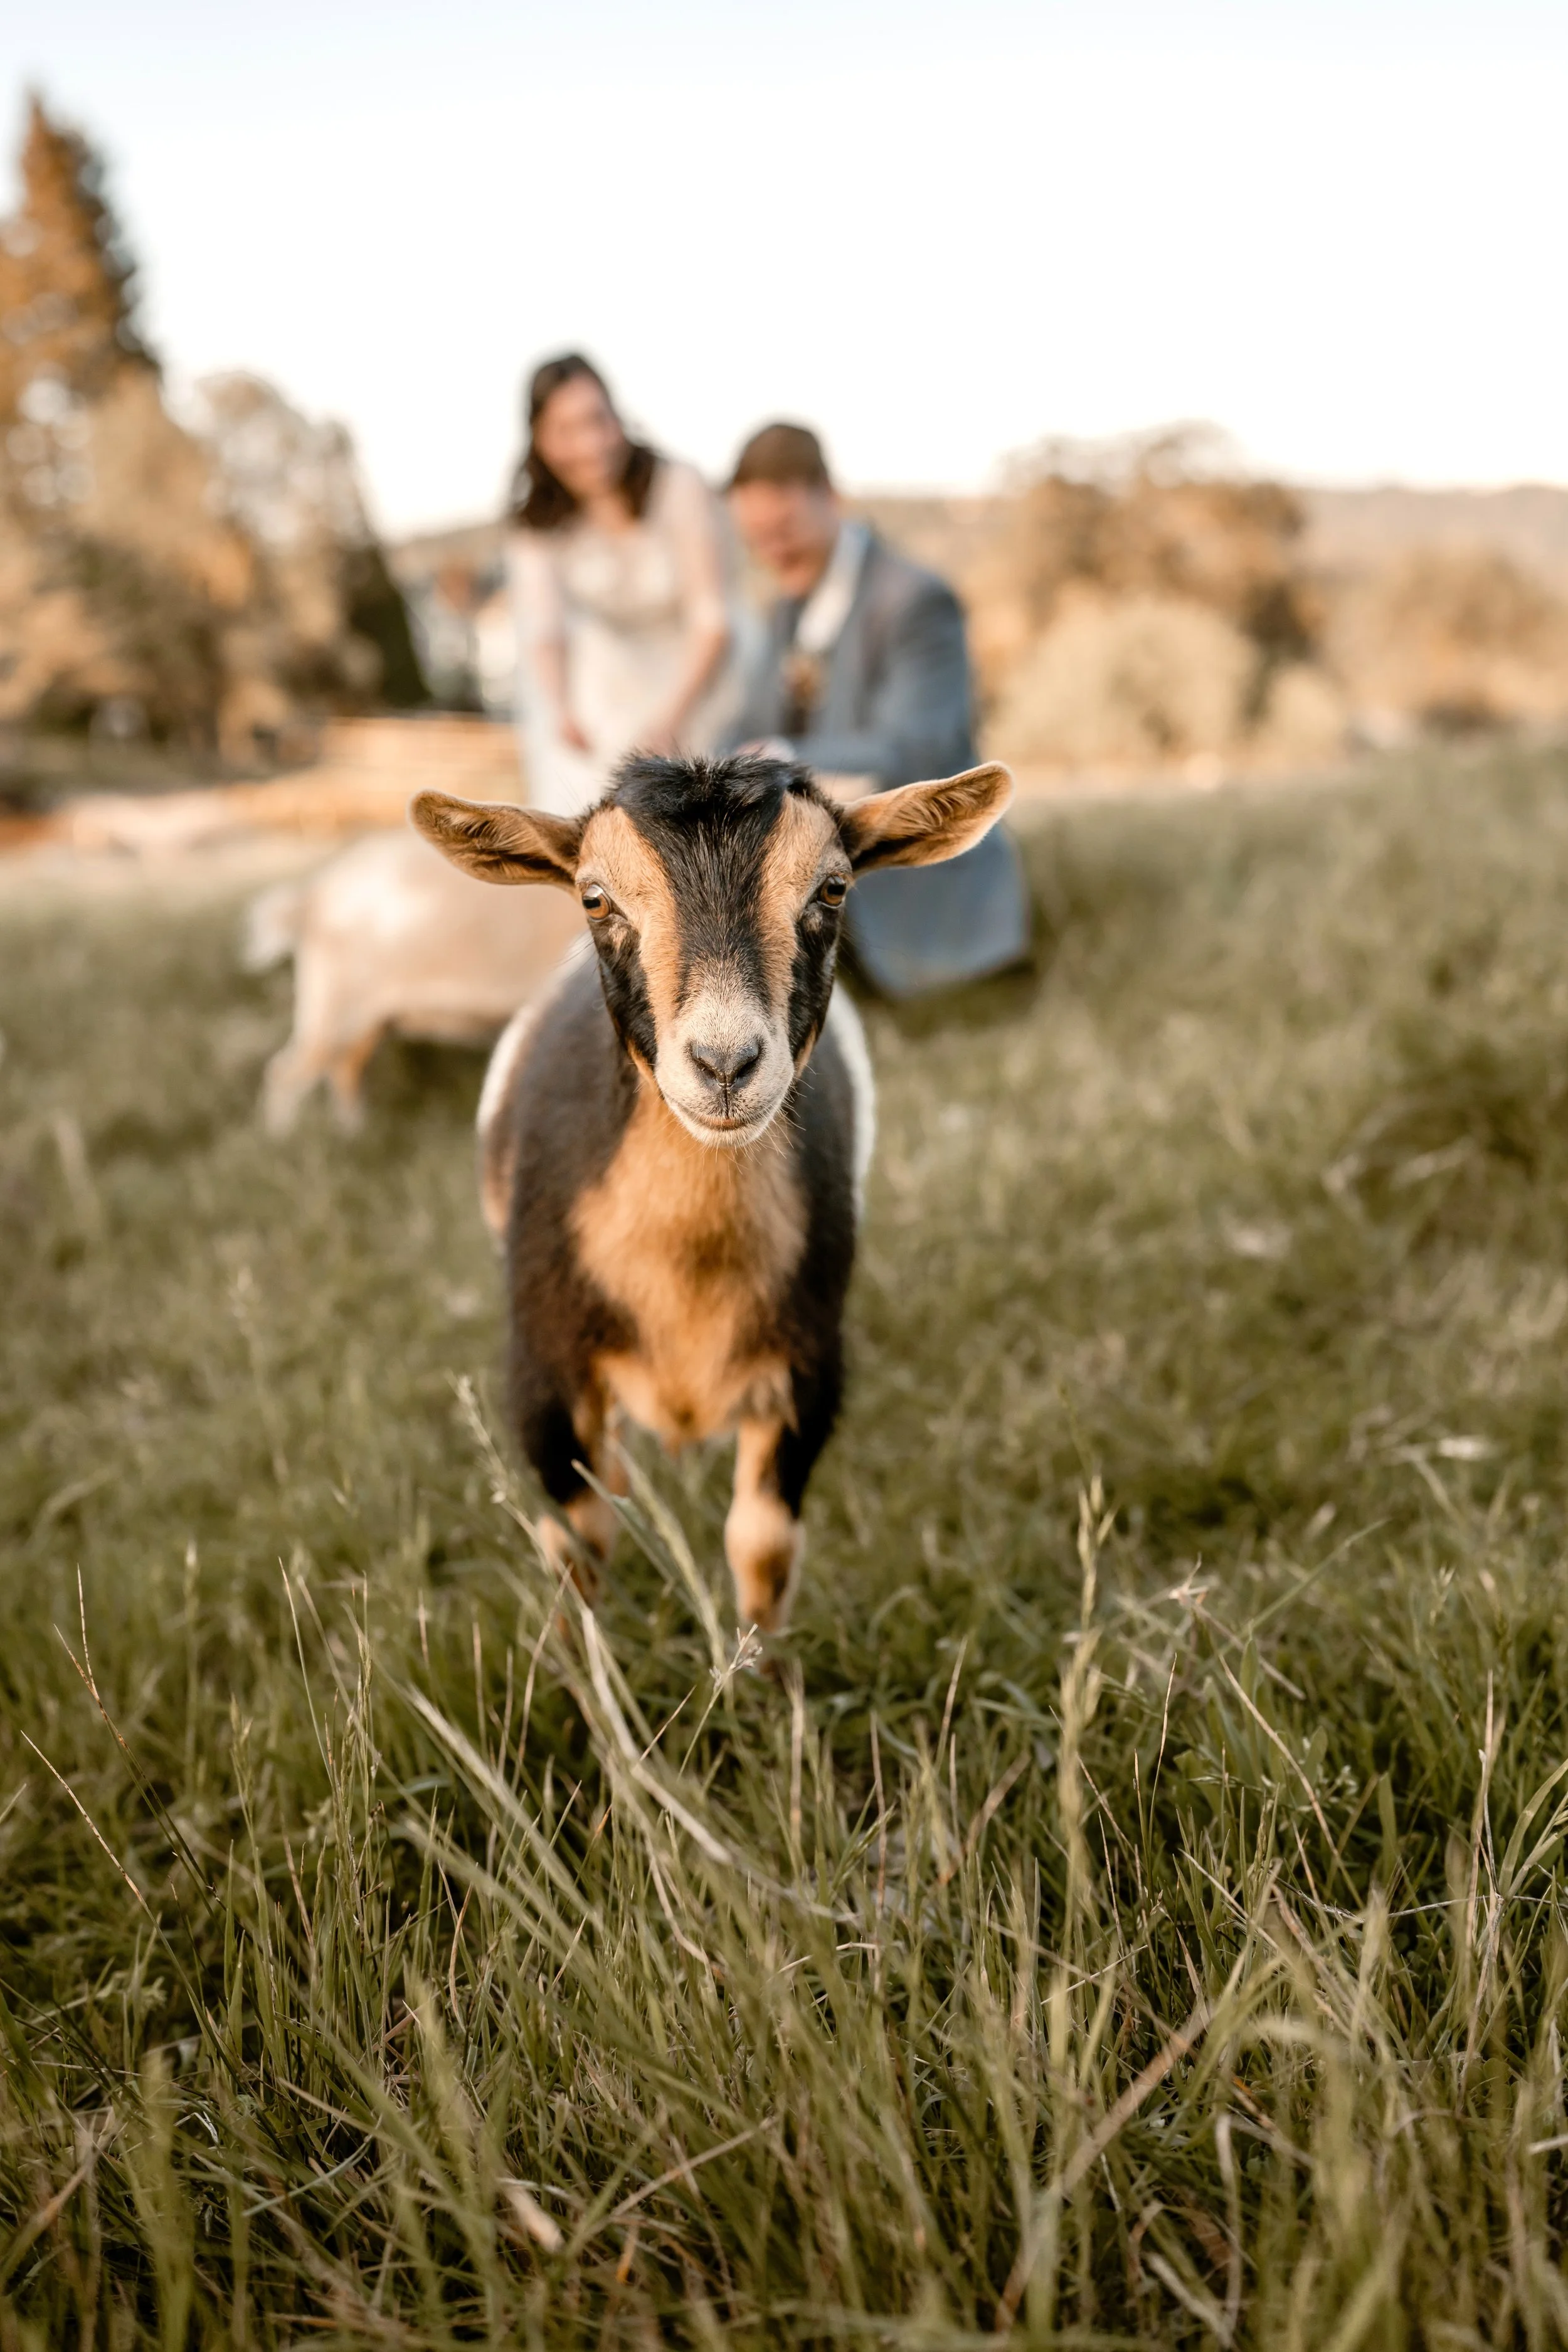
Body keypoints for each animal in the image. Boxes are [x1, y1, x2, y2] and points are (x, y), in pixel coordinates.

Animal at [244, 830, 584, 1133]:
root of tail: (309, 899)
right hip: (336, 1005)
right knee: (285, 1073)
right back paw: (285, 1140)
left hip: (370, 1019)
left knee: (344, 1069)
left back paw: (355, 1134)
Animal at [411, 752, 1012, 1632]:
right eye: (594, 897)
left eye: (833, 888)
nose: (725, 1065)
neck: (687, 1273)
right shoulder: (544, 1374)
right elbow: (578, 1546)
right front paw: (588, 1673)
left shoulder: (805, 1370)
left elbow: (761, 1546)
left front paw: (761, 1667)